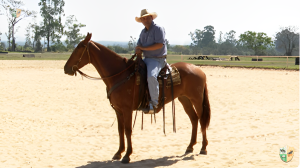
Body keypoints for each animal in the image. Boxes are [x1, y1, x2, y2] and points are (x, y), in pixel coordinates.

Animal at [63, 32, 211, 163]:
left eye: (79, 48)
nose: (66, 68)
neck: (120, 75)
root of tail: (199, 70)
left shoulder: (127, 109)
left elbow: (128, 130)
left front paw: (127, 155)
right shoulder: (118, 110)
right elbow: (120, 130)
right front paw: (118, 153)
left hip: (197, 99)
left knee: (202, 119)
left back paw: (203, 148)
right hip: (184, 99)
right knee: (194, 119)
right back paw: (190, 147)